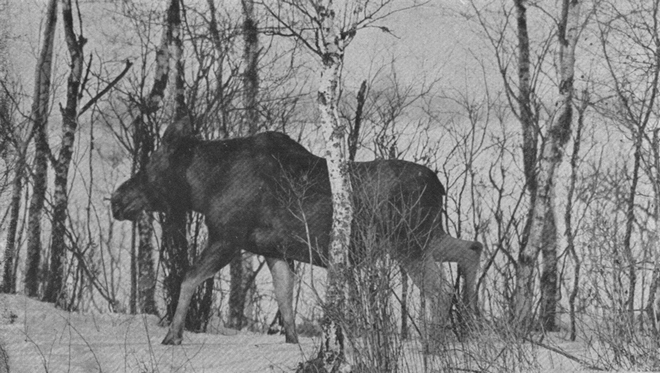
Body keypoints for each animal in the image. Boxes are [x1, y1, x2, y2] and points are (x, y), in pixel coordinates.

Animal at [111, 117, 482, 344]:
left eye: (148, 167)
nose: (117, 198)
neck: (203, 189)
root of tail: (439, 185)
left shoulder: (227, 237)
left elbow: (188, 278)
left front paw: (172, 336)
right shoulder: (273, 250)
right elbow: (284, 299)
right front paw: (292, 341)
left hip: (409, 243)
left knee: (440, 290)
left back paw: (435, 343)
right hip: (427, 236)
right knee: (473, 248)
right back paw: (469, 324)